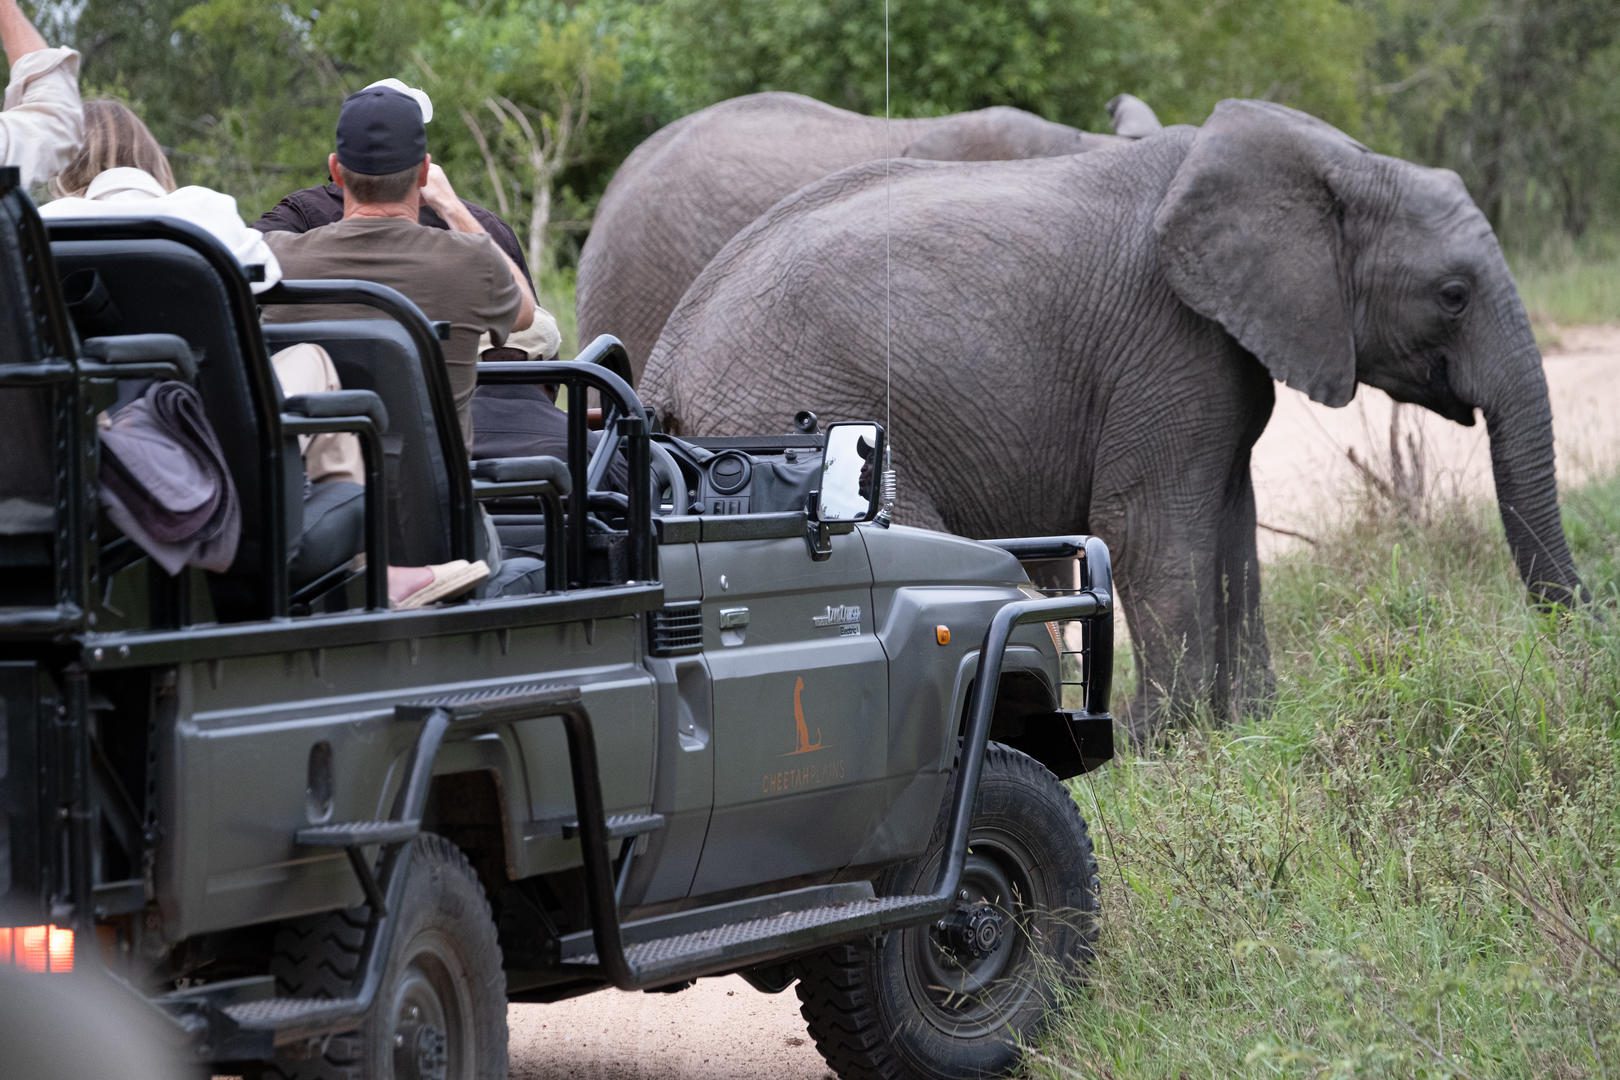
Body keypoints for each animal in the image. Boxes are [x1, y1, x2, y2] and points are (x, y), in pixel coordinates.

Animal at [641, 99, 1586, 737]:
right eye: (1453, 295)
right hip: (799, 411)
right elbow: (1151, 527)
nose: (1572, 652)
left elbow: (1233, 523)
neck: (1324, 159)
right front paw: (1164, 738)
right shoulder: (1164, 341)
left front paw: (1250, 723)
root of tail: (666, 352)